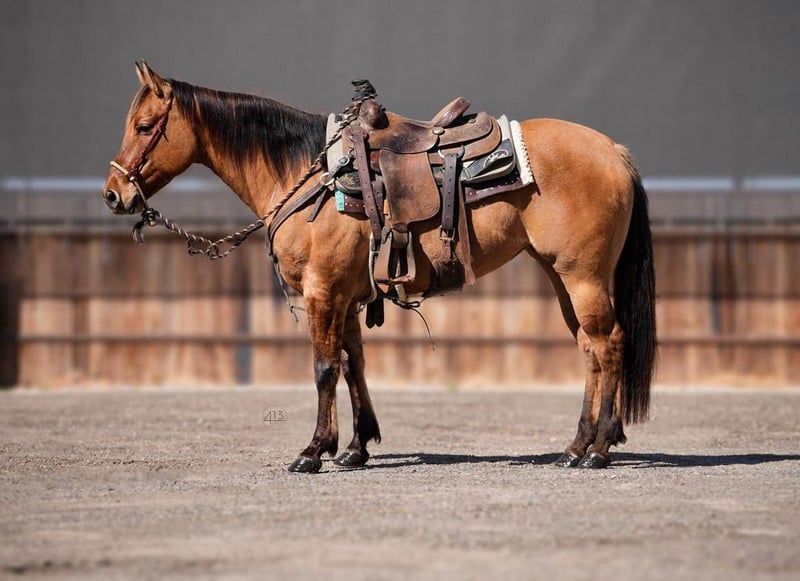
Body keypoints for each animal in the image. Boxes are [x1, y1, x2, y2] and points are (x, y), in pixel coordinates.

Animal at [103, 62, 656, 473]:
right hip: (562, 277)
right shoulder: (347, 298)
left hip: (582, 277)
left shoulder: (322, 291)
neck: (310, 174)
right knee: (589, 349)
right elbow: (354, 365)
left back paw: (598, 450)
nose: (114, 194)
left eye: (145, 127)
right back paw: (576, 446)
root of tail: (614, 151)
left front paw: (313, 451)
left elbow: (324, 368)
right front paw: (354, 447)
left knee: (608, 344)